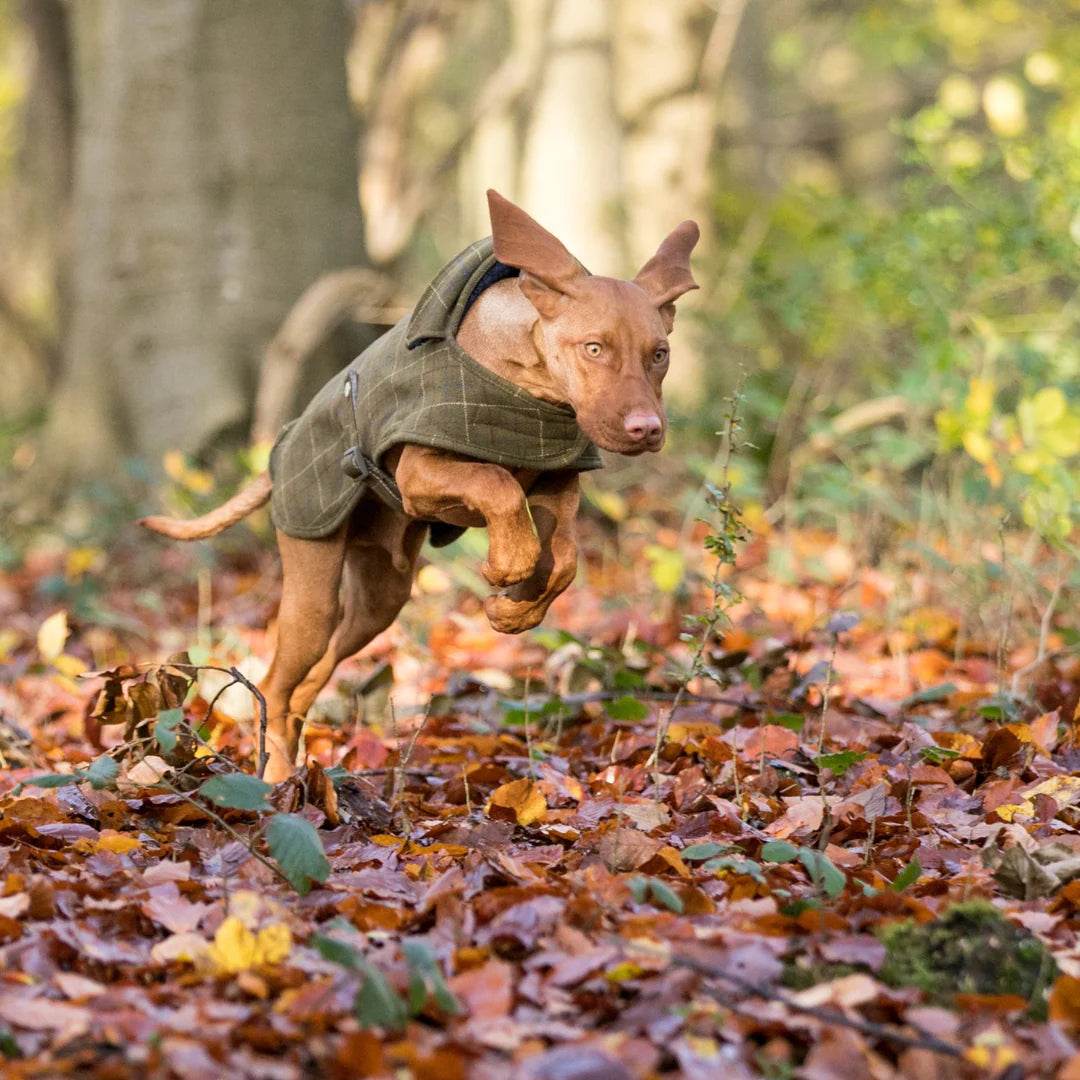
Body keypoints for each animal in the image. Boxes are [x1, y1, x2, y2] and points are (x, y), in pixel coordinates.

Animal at [141, 192, 699, 786]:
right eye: (594, 348)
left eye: (659, 353)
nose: (646, 430)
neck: (523, 382)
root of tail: (280, 450)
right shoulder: (417, 476)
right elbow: (495, 482)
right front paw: (508, 565)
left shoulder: (556, 481)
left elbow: (564, 558)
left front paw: (516, 610)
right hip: (313, 597)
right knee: (275, 684)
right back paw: (273, 778)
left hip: (378, 602)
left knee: (306, 688)